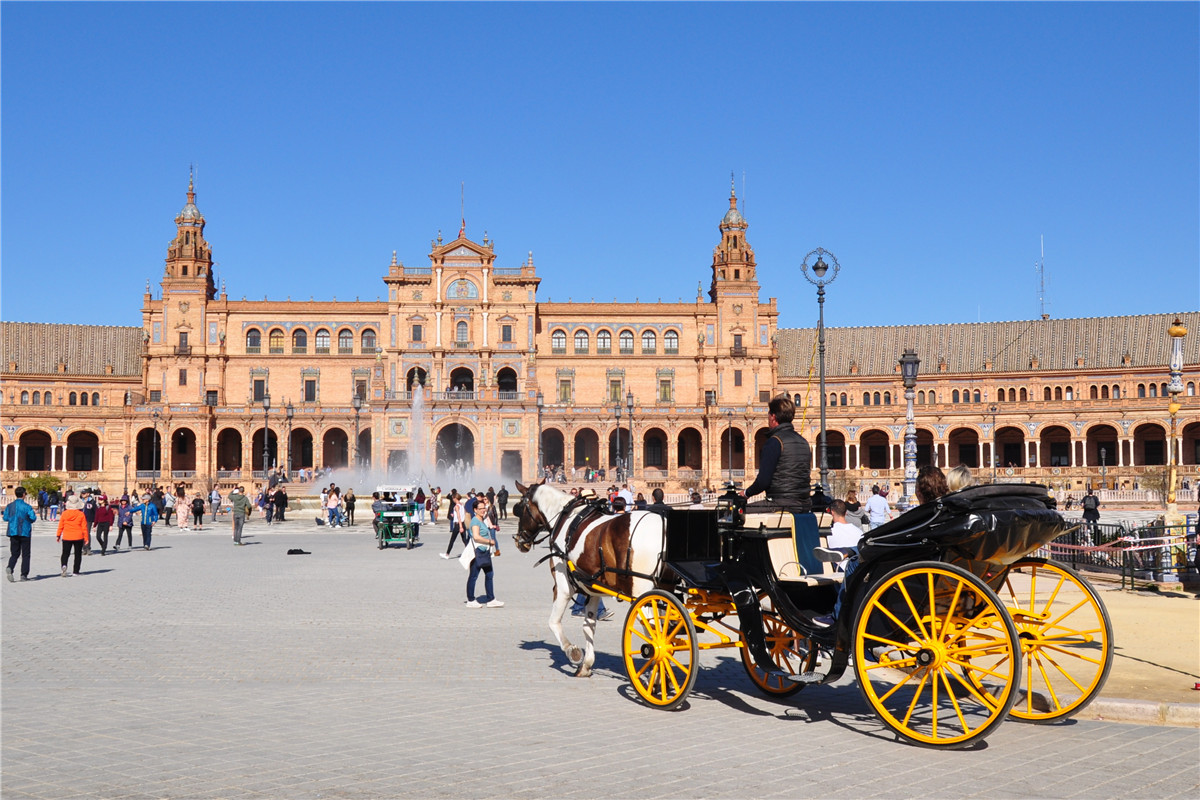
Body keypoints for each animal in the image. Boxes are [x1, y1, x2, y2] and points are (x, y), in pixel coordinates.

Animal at [511, 482, 672, 676]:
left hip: (642, 592)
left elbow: (553, 622)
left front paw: (572, 652)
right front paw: (586, 664)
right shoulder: (593, 588)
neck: (566, 517)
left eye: (519, 508)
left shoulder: (563, 587)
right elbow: (589, 626)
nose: (519, 541)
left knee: (654, 630)